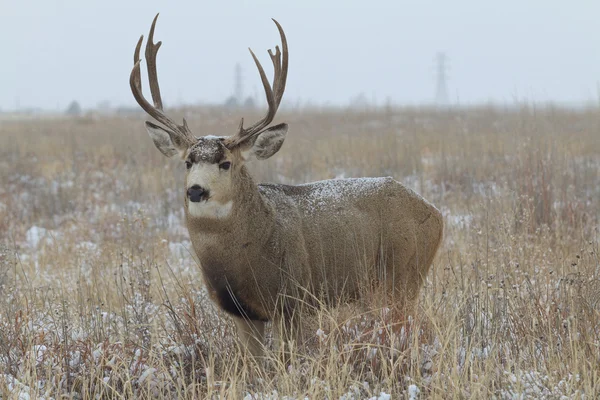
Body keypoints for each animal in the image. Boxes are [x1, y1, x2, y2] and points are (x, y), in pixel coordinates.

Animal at [129, 14, 442, 360]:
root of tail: (436, 213)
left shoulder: (293, 299)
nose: (196, 190)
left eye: (226, 163)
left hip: (404, 275)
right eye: (187, 162)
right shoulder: (243, 312)